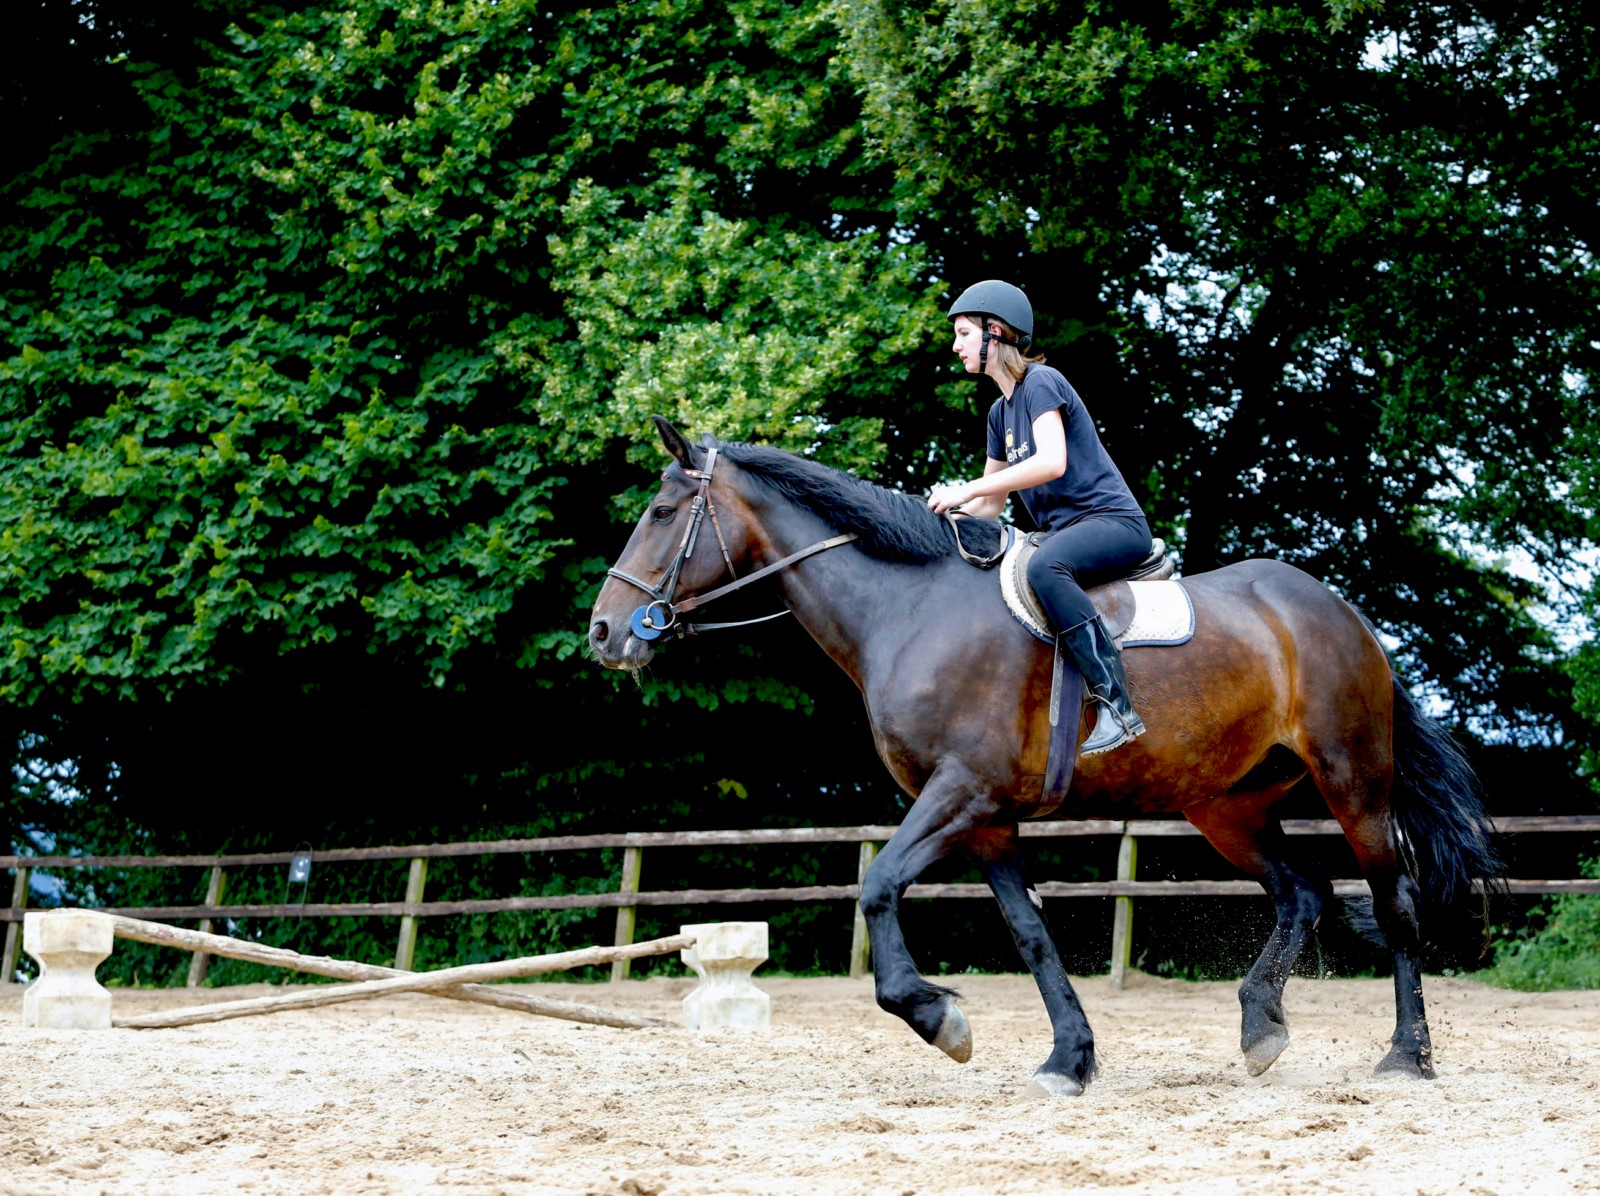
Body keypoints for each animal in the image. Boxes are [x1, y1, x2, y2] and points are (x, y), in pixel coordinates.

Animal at [588, 418, 1497, 1093]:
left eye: (661, 513)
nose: (603, 632)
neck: (906, 609)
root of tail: (1341, 612)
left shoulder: (959, 792)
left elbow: (876, 886)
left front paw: (939, 1018)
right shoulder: (987, 820)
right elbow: (1030, 934)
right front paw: (1069, 1057)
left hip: (1354, 781)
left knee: (1394, 903)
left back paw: (1406, 1056)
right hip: (1227, 807)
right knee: (1302, 891)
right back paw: (1259, 1026)